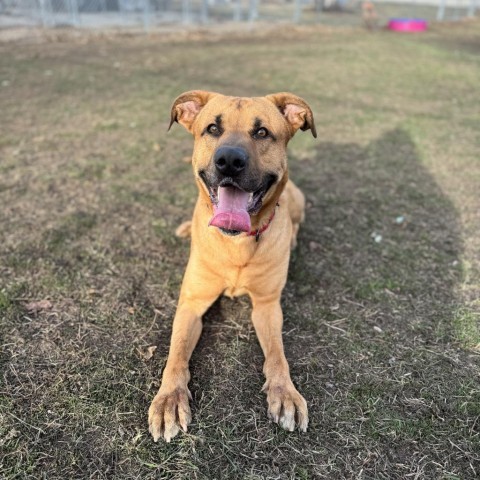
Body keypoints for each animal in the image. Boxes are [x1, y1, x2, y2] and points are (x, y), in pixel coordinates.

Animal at [148, 90, 316, 442]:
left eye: (262, 132)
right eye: (213, 129)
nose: (229, 161)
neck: (237, 244)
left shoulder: (267, 305)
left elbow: (277, 355)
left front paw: (284, 391)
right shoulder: (192, 303)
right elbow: (176, 353)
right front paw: (169, 397)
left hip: (298, 197)